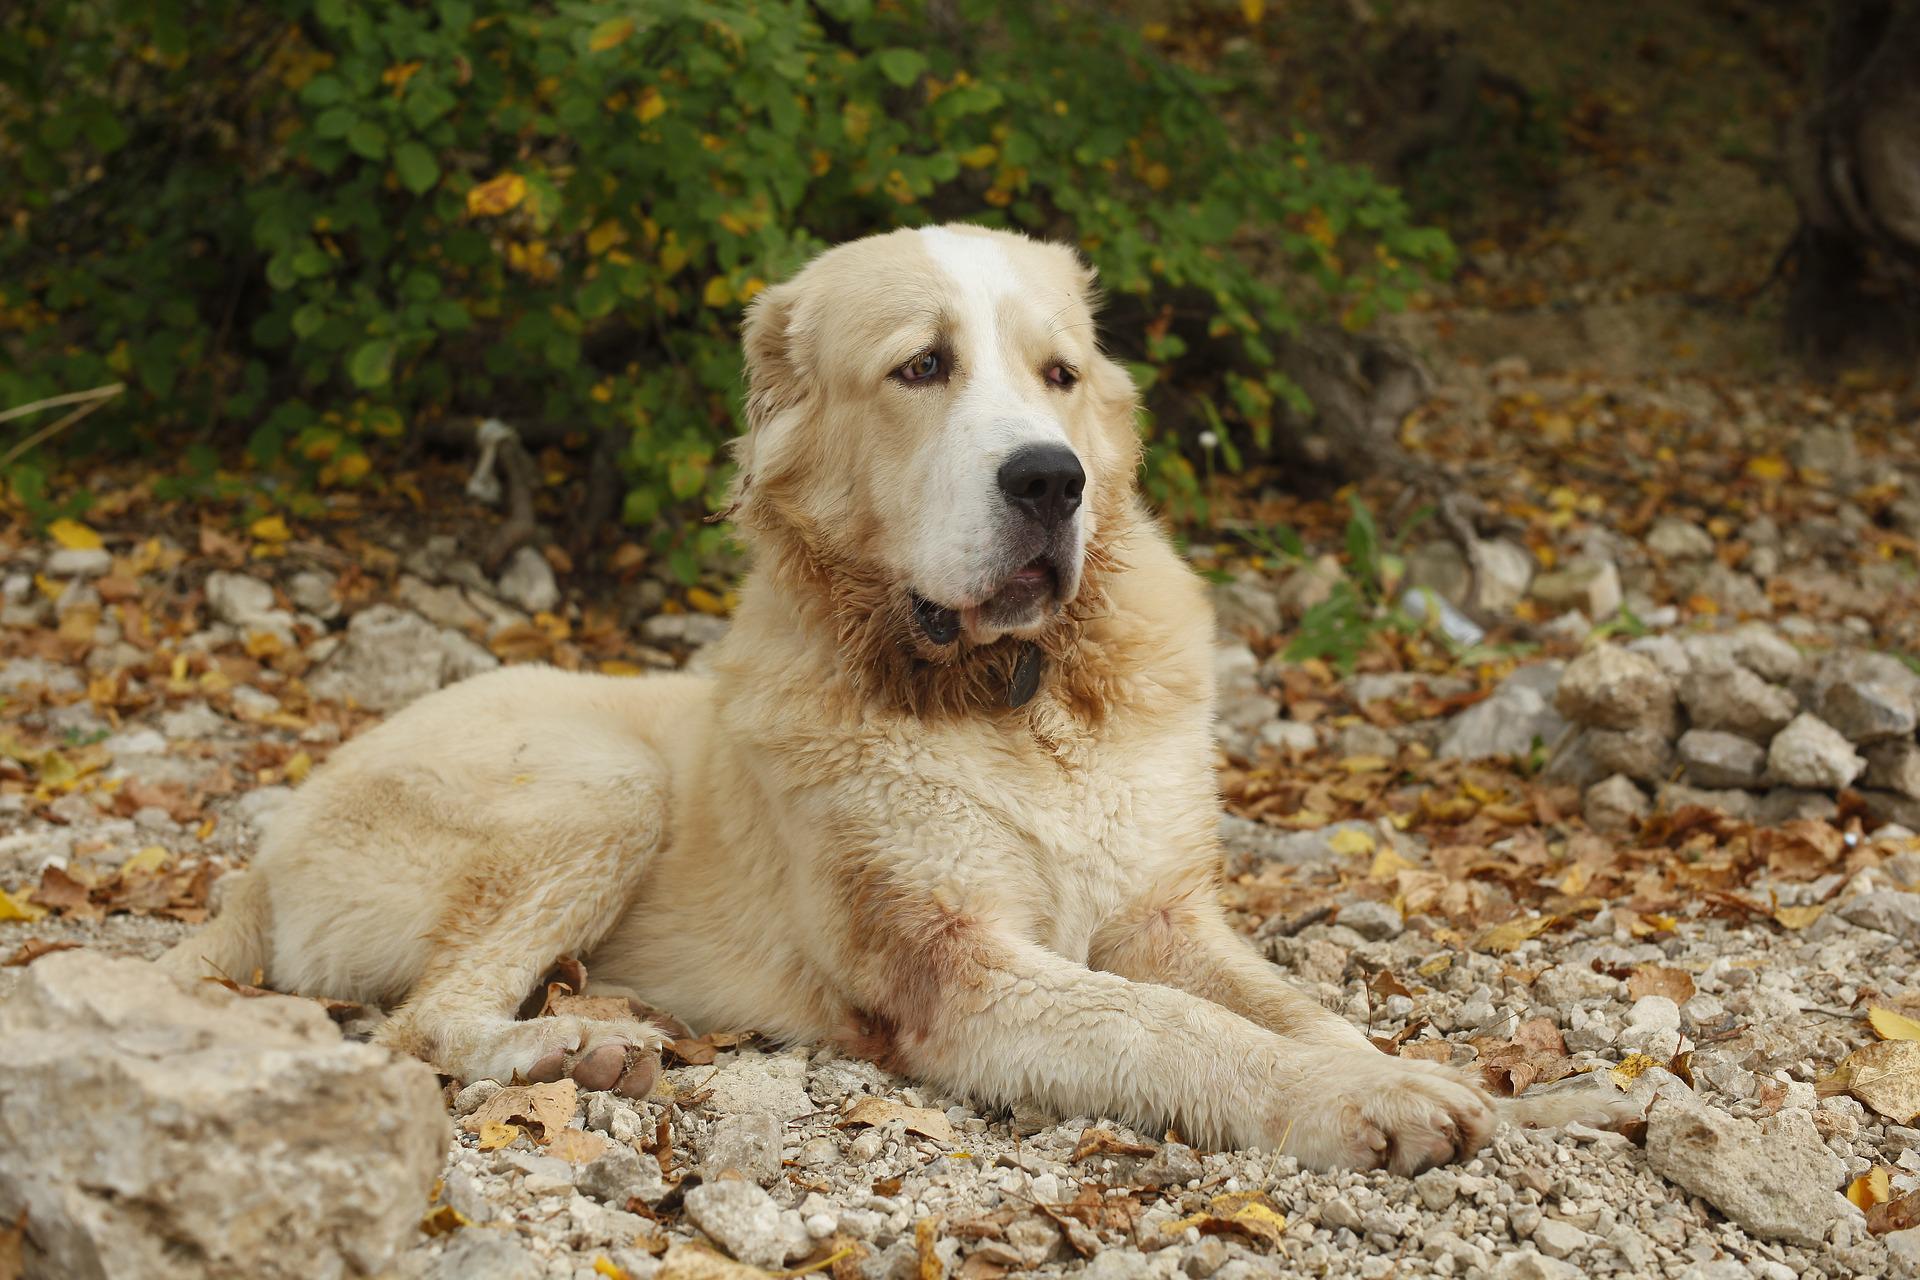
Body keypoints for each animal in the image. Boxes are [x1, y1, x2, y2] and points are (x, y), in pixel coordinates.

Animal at [165, 222, 1612, 1174]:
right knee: (423, 1023)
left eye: (1060, 375)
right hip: (599, 783)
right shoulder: (949, 965)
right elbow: (1169, 1023)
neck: (1015, 699)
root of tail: (263, 859)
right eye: (922, 368)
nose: (1048, 480)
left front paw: (1447, 1083)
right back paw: (565, 1053)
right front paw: (1358, 1105)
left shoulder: (1164, 915)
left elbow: (1290, 1004)